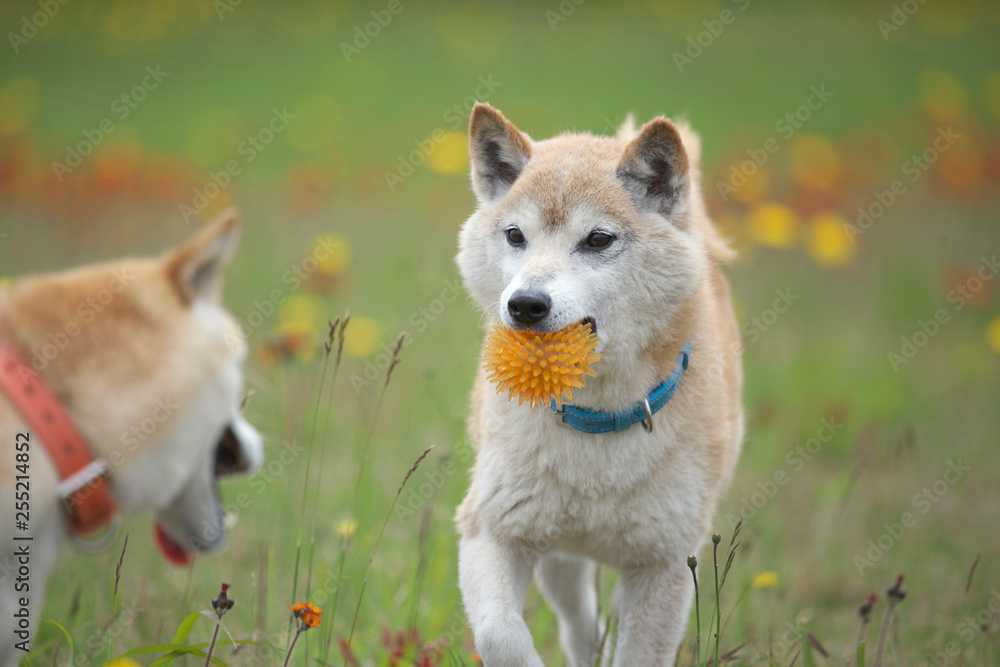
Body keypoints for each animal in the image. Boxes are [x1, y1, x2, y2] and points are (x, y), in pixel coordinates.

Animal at [458, 105, 748, 667]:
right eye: (515, 235)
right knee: (580, 626)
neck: (597, 419)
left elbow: (638, 654)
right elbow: (501, 636)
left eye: (597, 239)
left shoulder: (665, 565)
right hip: (559, 557)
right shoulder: (491, 529)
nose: (525, 304)